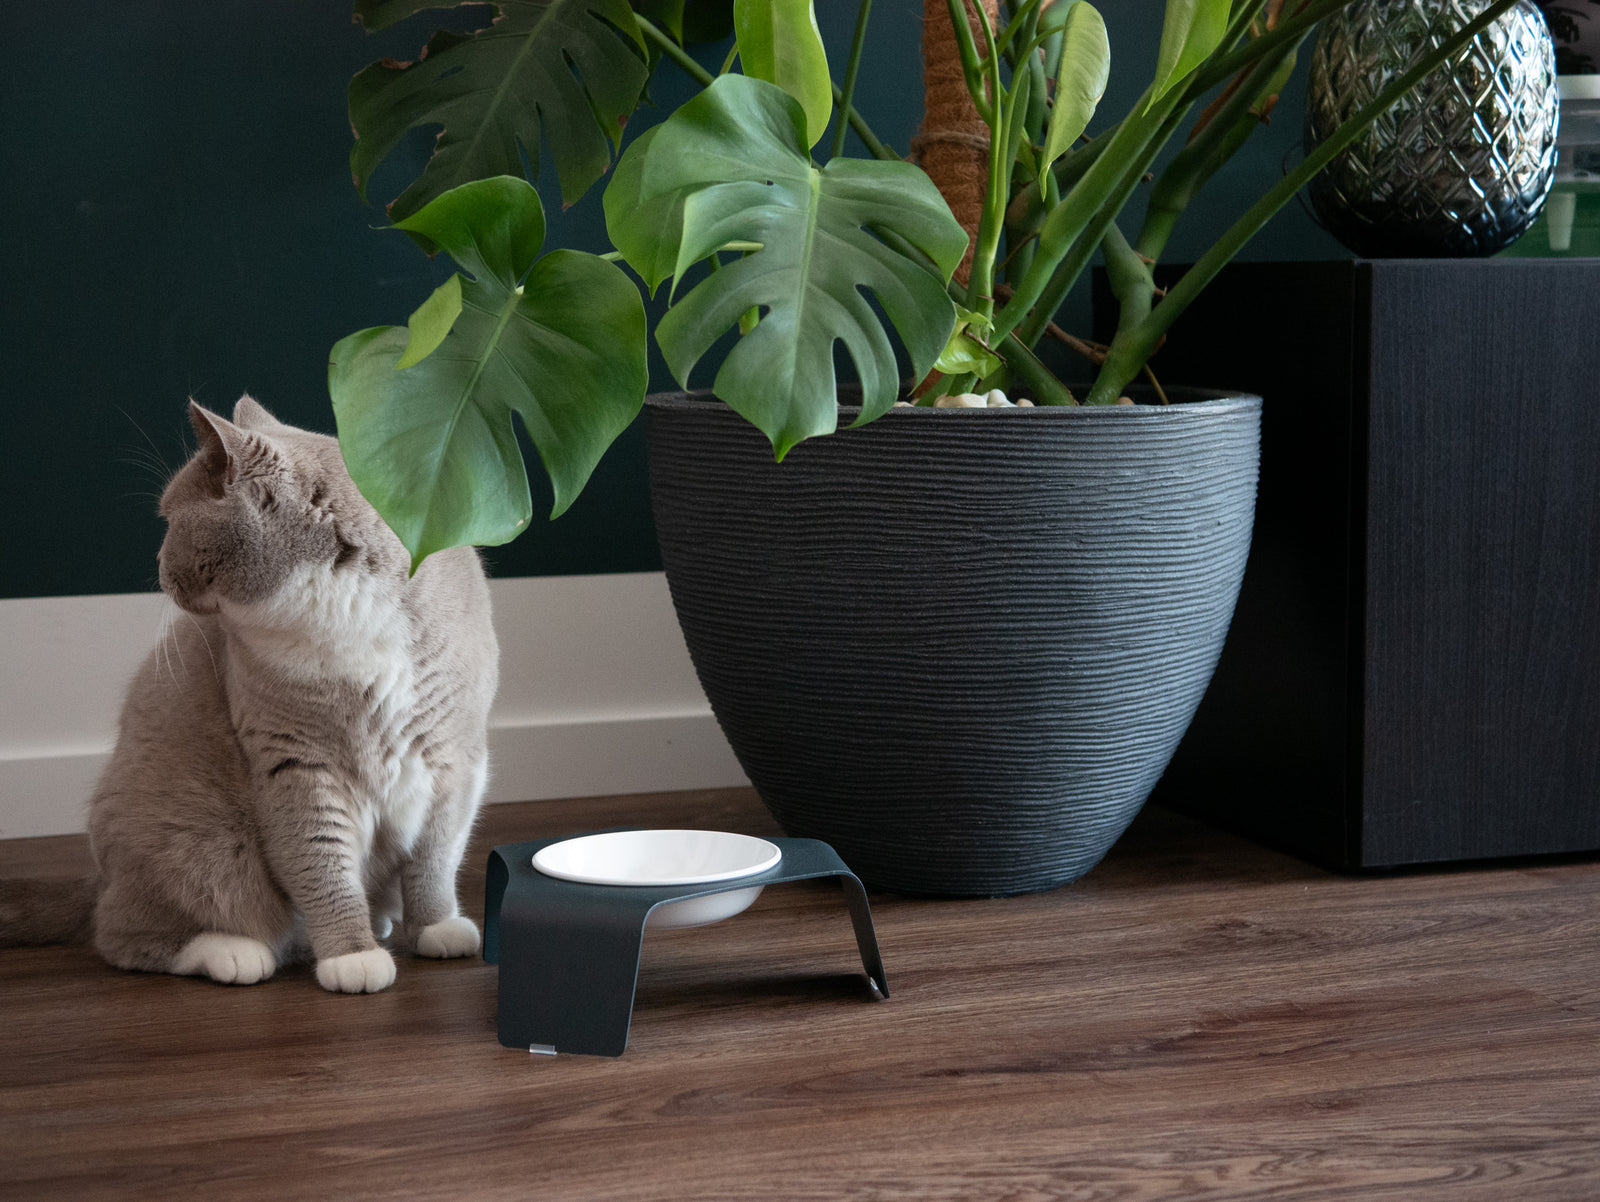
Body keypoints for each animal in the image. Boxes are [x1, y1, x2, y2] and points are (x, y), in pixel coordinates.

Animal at [0, 397, 498, 993]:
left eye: (170, 521)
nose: (157, 565)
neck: (341, 610)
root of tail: (98, 879)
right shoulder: (295, 761)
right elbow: (323, 866)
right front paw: (352, 958)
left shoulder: (452, 759)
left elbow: (434, 860)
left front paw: (438, 929)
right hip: (203, 847)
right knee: (125, 934)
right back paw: (235, 953)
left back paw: (379, 922)